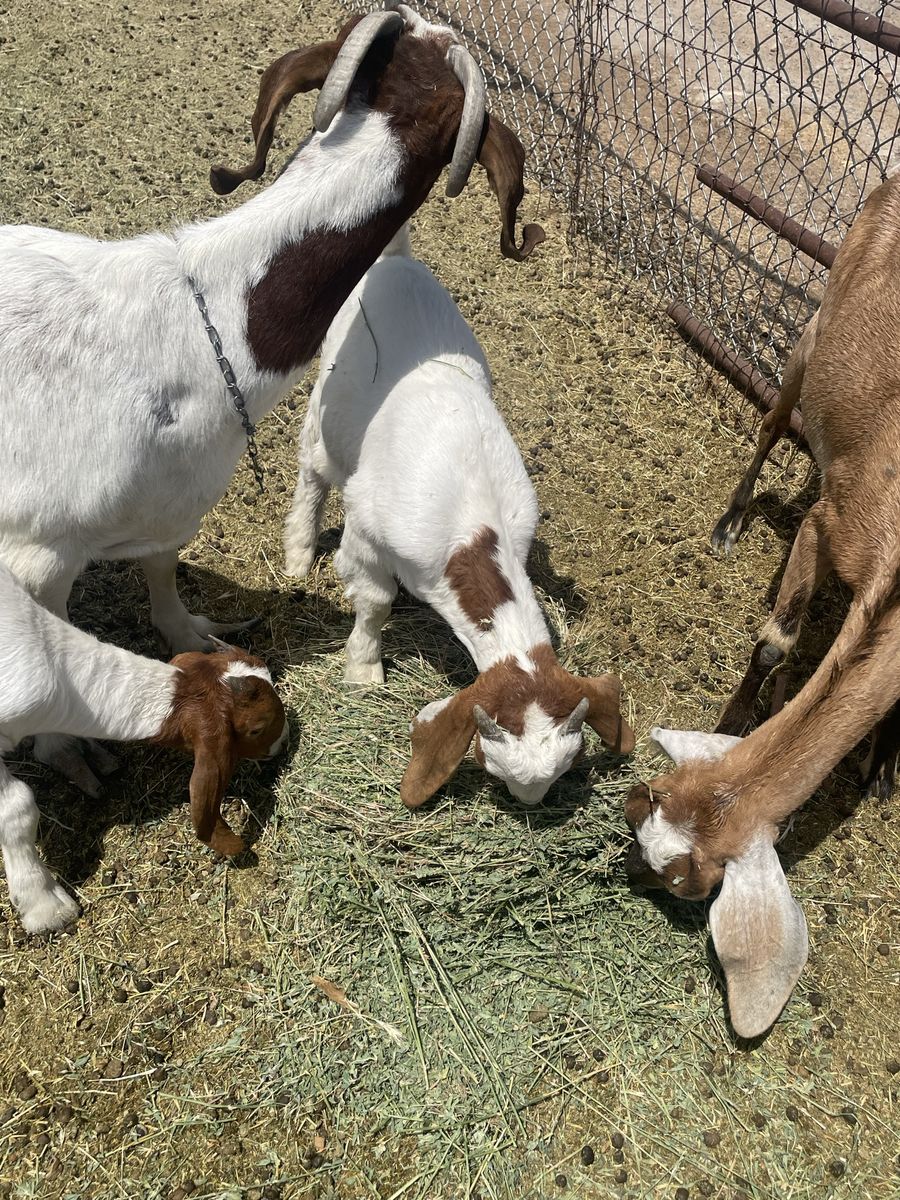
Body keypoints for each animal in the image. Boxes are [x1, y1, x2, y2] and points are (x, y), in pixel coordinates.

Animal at [0, 4, 544, 795]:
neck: (202, 323)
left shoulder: (171, 500)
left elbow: (162, 566)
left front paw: (193, 635)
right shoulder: (36, 554)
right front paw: (64, 750)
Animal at [284, 229, 633, 807]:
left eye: (563, 768)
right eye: (488, 764)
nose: (529, 805)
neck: (473, 526)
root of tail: (393, 260)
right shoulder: (367, 530)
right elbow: (374, 601)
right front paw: (363, 670)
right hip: (327, 406)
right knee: (313, 466)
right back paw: (297, 553)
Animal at [624, 175, 900, 1038]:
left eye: (686, 878)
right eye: (646, 803)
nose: (625, 868)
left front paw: (881, 767)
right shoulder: (828, 524)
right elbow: (778, 636)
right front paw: (735, 718)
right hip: (813, 330)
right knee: (776, 420)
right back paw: (730, 521)